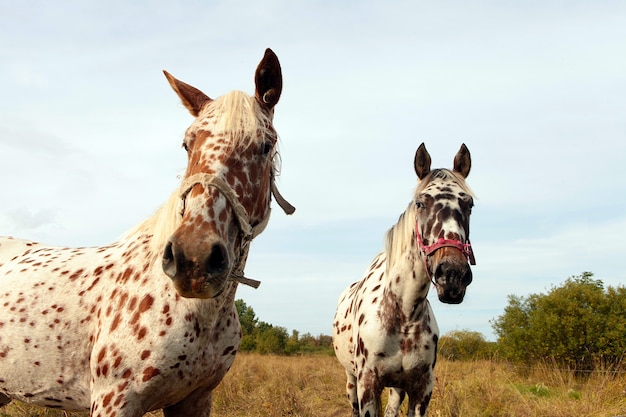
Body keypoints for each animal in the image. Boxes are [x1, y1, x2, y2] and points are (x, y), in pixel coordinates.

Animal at [332, 141, 472, 414]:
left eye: (469, 204)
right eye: (420, 203)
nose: (453, 275)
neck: (405, 314)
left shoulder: (421, 388)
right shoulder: (368, 385)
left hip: (396, 388)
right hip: (351, 380)